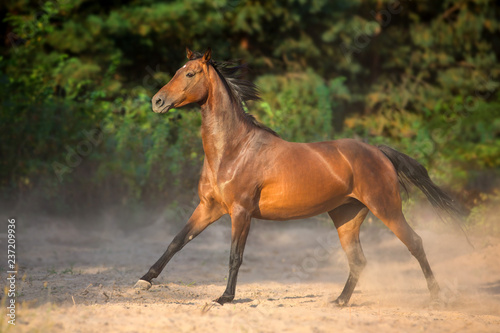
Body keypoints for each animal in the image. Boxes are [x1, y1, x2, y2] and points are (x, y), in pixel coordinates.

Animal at [135, 48, 462, 304]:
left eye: (190, 74)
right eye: (177, 71)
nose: (157, 102)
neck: (233, 150)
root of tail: (378, 152)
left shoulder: (240, 212)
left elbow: (234, 256)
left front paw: (224, 298)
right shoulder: (208, 207)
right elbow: (177, 241)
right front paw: (143, 281)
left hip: (387, 208)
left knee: (415, 243)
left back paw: (436, 297)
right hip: (346, 216)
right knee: (358, 260)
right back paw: (339, 301)